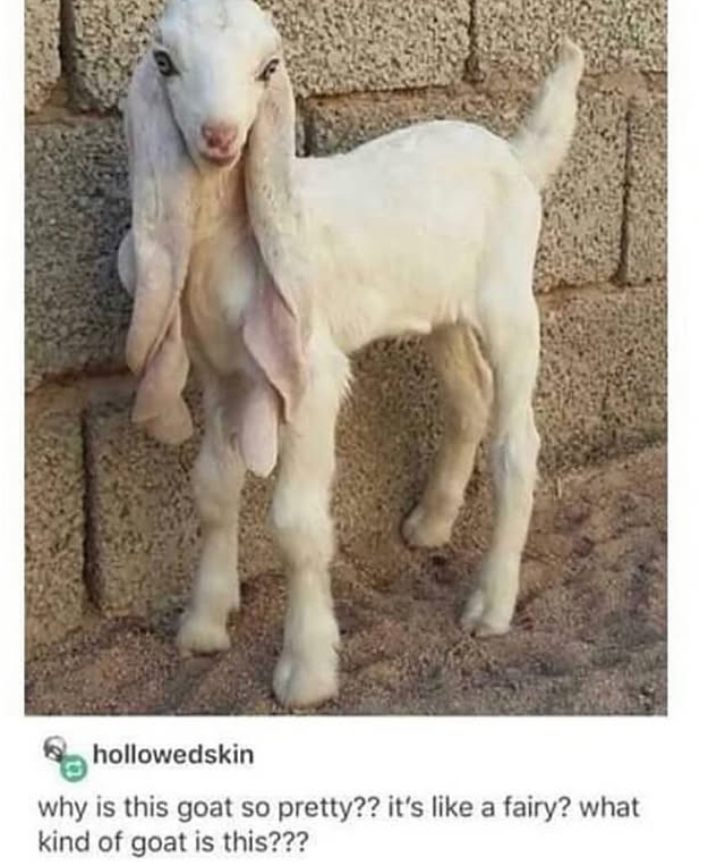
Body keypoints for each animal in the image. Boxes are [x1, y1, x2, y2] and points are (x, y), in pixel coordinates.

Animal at [117, 0, 584, 708]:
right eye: (165, 61)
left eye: (269, 67)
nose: (221, 137)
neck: (228, 237)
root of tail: (515, 154)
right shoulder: (222, 373)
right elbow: (213, 490)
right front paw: (203, 625)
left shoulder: (309, 374)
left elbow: (296, 524)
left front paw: (306, 672)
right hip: (442, 311)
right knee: (468, 399)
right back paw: (430, 525)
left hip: (509, 302)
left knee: (516, 443)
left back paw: (490, 605)